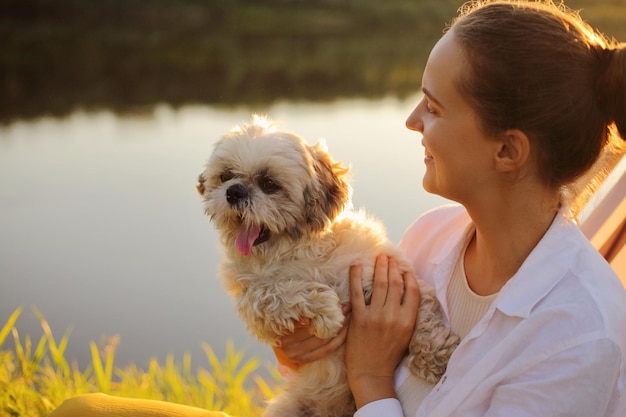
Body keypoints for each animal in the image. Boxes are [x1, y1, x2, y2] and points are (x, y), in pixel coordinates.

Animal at [196, 114, 458, 416]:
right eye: (226, 176)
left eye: (269, 183)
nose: (233, 192)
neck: (297, 252)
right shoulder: (254, 306)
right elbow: (275, 293)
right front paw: (327, 312)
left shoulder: (395, 276)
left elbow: (424, 317)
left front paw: (436, 356)